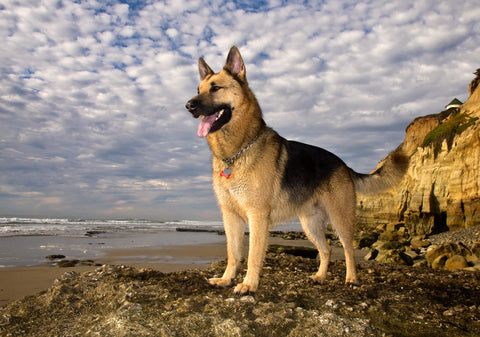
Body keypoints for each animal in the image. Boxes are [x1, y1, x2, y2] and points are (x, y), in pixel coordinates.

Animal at [186, 46, 406, 292]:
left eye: (216, 88)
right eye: (198, 90)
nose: (189, 105)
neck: (237, 151)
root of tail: (343, 164)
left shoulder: (257, 216)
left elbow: (253, 255)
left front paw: (249, 284)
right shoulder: (230, 216)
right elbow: (233, 253)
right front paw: (226, 279)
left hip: (341, 219)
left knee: (348, 250)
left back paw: (351, 278)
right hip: (310, 224)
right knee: (327, 249)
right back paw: (320, 276)